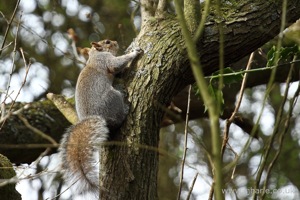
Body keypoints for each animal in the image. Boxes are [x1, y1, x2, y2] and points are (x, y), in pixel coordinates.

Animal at [57, 39, 142, 198]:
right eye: (107, 42)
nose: (116, 42)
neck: (94, 55)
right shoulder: (105, 60)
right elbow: (116, 64)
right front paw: (134, 52)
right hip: (112, 97)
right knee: (119, 117)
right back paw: (125, 109)